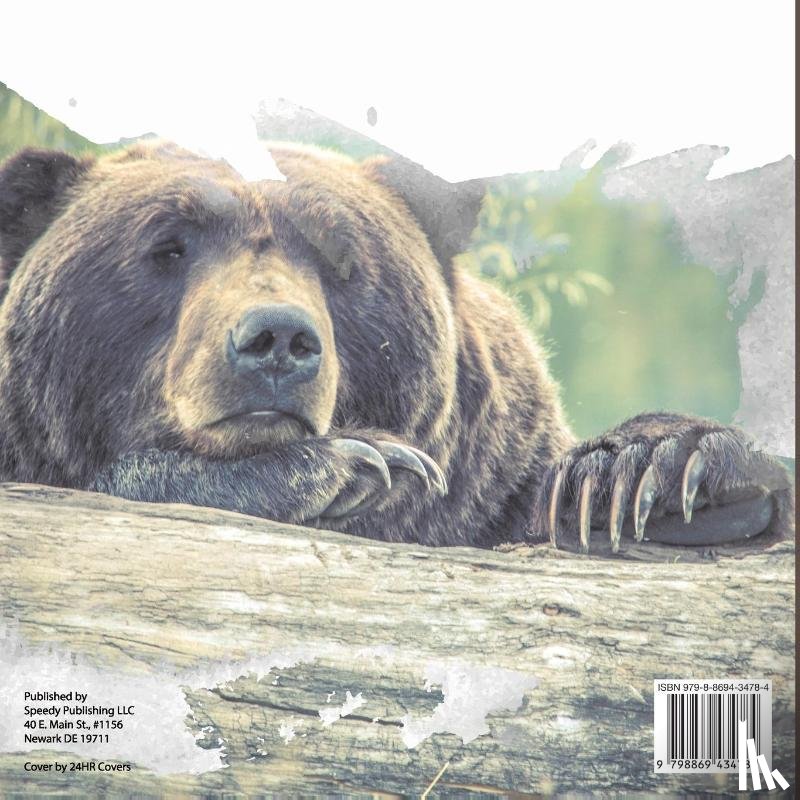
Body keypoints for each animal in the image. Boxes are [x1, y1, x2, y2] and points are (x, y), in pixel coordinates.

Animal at [0, 141, 792, 552]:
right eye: (168, 246)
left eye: (339, 258)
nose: (276, 339)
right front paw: (355, 464)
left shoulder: (490, 485)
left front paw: (652, 471)